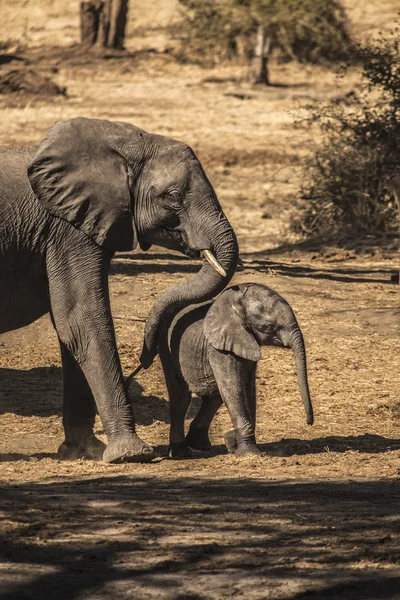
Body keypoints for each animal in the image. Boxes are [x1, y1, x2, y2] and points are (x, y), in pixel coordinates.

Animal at [0, 117, 238, 464]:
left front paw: (86, 451)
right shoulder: (67, 231)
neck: (126, 143)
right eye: (174, 197)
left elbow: (71, 327)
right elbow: (82, 321)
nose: (145, 357)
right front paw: (131, 454)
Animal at [158, 284, 314, 458]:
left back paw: (199, 445)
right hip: (166, 348)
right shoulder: (218, 348)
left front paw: (232, 443)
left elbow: (248, 388)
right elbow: (234, 388)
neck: (235, 306)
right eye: (268, 327)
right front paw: (249, 452)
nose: (309, 422)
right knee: (181, 399)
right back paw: (181, 452)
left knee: (214, 396)